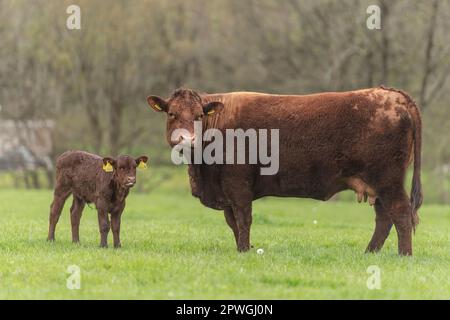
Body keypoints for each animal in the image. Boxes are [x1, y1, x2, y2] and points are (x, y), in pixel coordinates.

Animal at [147, 85, 422, 255]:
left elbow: (243, 219)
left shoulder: (238, 183)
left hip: (387, 180)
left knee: (400, 213)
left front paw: (244, 251)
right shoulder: (225, 190)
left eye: (198, 115)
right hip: (378, 184)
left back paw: (404, 255)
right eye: (171, 113)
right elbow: (232, 222)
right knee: (384, 218)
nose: (186, 140)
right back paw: (369, 253)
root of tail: (394, 95)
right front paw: (241, 248)